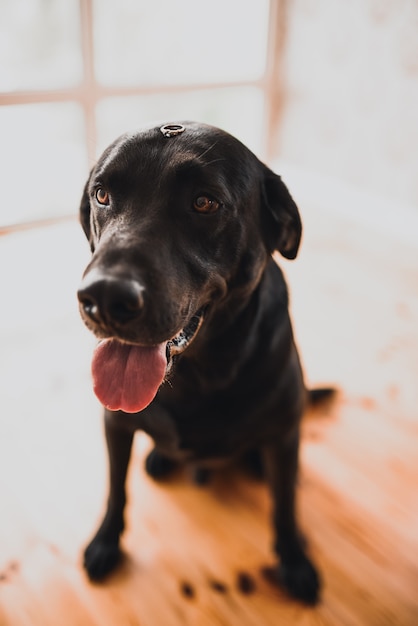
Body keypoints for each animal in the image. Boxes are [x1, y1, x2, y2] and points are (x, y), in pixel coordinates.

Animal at [76, 119, 328, 604]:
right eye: (102, 194)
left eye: (204, 203)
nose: (105, 297)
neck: (198, 373)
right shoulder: (115, 425)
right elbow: (116, 489)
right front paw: (105, 543)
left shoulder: (285, 437)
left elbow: (285, 506)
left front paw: (294, 561)